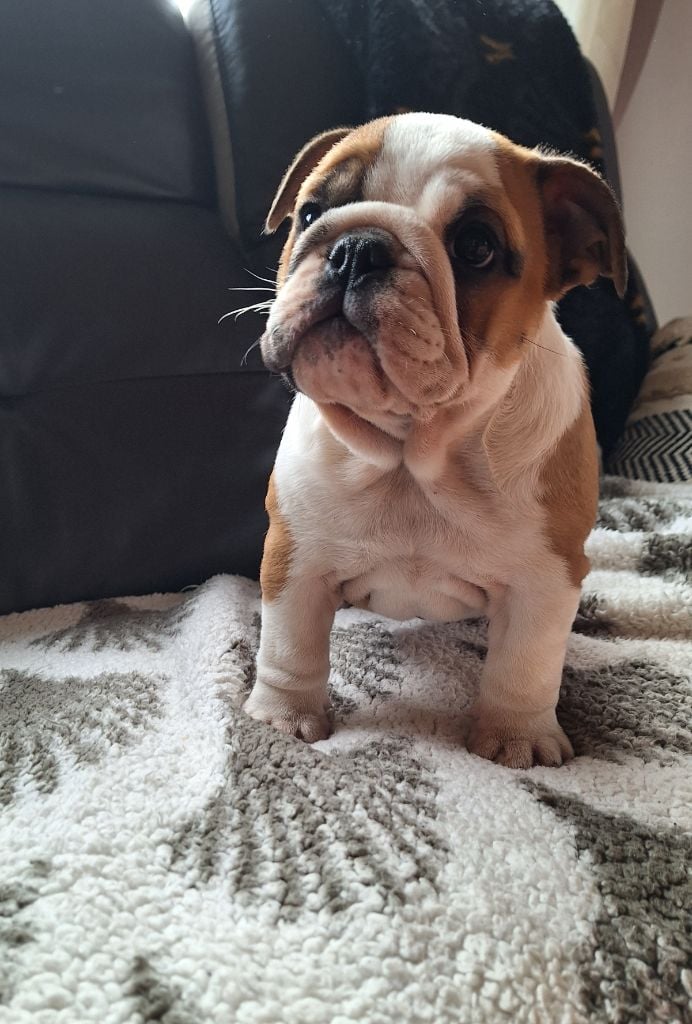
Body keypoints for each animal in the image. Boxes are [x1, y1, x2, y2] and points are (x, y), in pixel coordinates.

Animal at [244, 113, 626, 768]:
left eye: (476, 246)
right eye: (311, 212)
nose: (357, 248)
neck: (411, 454)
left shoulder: (548, 579)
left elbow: (525, 664)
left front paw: (517, 736)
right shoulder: (296, 557)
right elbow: (290, 644)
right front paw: (283, 718)